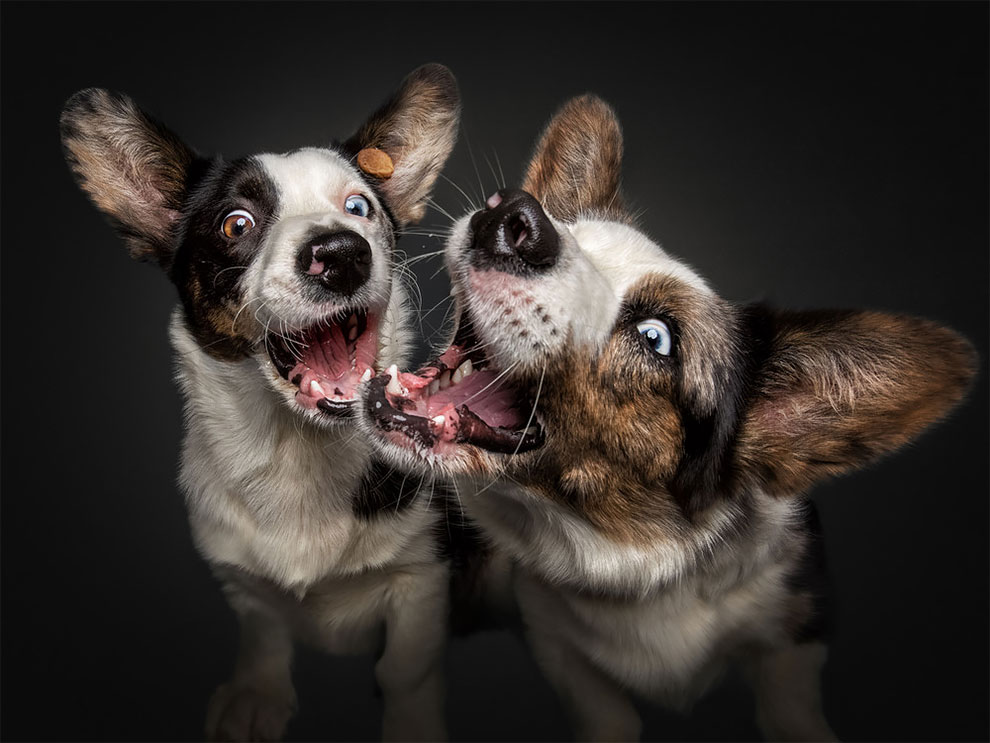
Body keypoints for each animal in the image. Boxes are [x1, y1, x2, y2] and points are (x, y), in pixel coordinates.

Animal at [64, 65, 460, 743]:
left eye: (360, 208)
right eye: (237, 223)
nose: (343, 253)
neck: (295, 447)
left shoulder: (422, 577)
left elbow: (405, 672)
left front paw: (411, 725)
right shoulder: (238, 574)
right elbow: (263, 628)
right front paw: (257, 695)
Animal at [362, 96, 976, 740]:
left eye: (656, 338)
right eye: (571, 231)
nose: (511, 215)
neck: (635, 552)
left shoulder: (795, 627)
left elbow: (791, 705)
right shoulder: (556, 640)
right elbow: (607, 714)